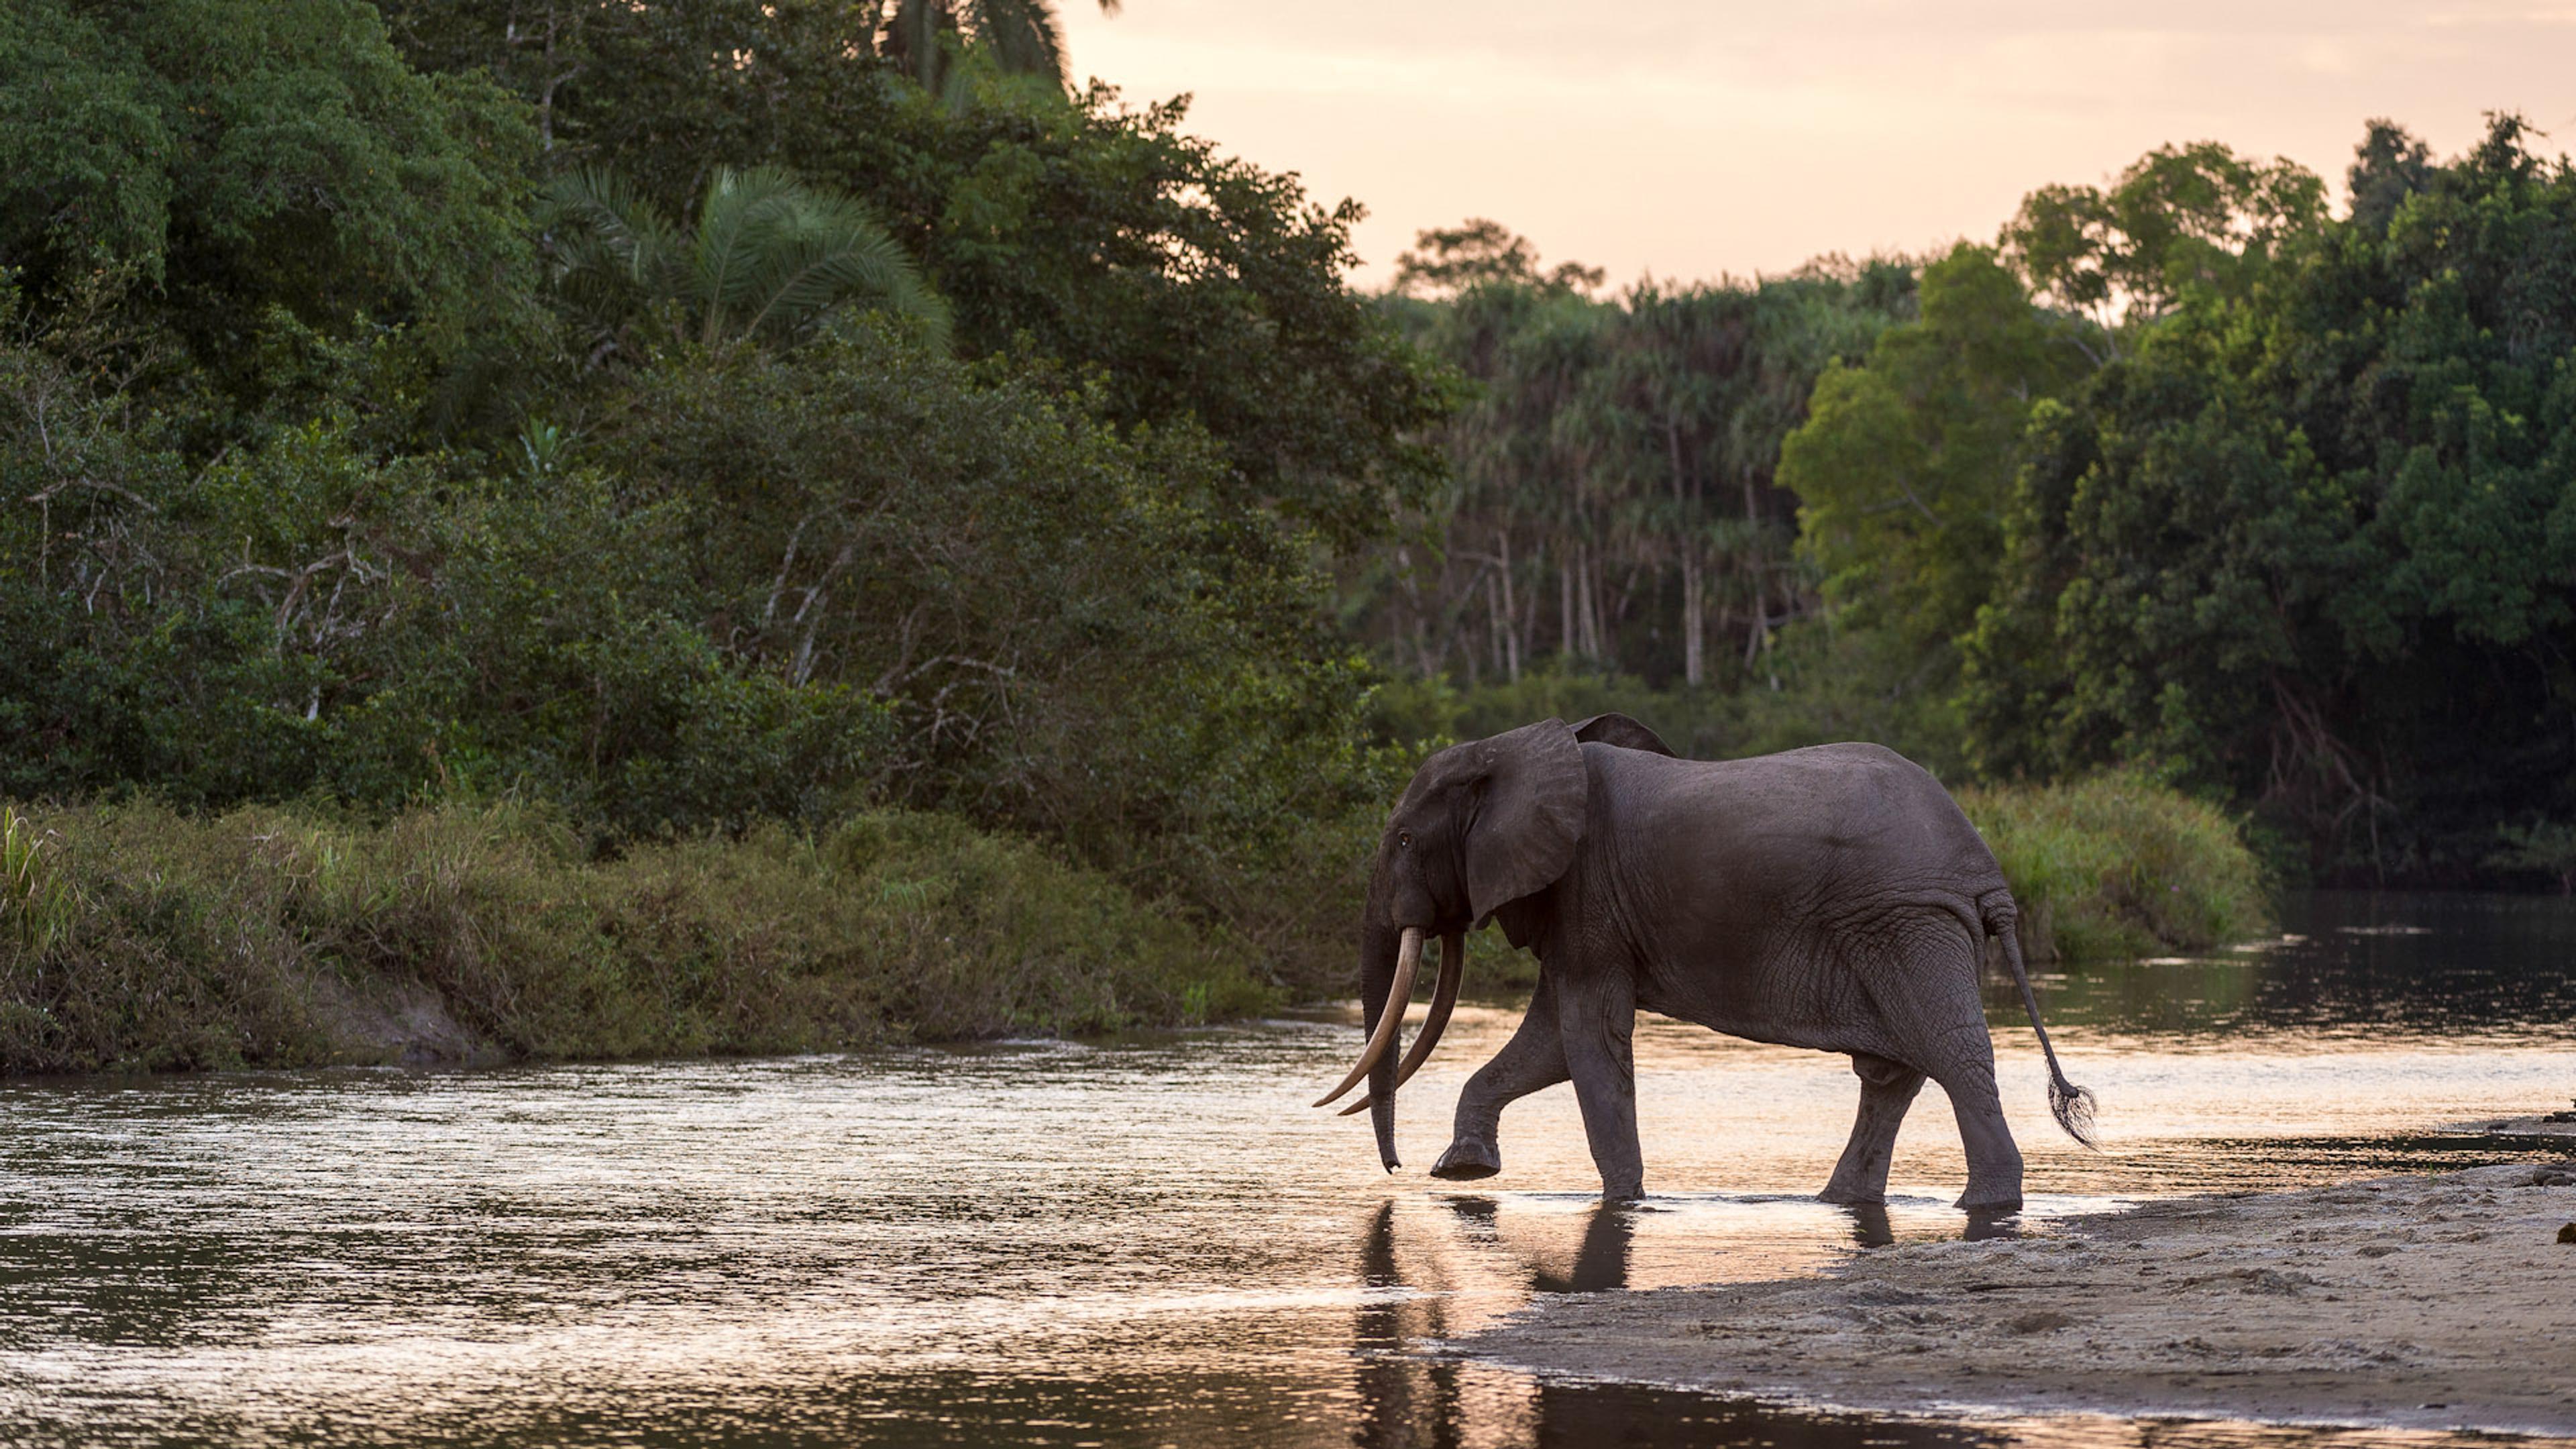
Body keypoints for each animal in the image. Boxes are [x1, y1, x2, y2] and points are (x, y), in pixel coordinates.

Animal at [1311, 715, 2094, 1210]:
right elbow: (1551, 1043)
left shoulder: (1587, 894)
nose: (1396, 1169)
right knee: (1895, 1069)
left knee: (1948, 1052)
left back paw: (1984, 1203)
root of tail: (1986, 871)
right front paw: (1465, 1172)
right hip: (1901, 929)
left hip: (1908, 922)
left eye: (1404, 840)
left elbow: (1587, 1042)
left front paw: (1624, 1202)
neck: (1513, 747)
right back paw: (1838, 1200)